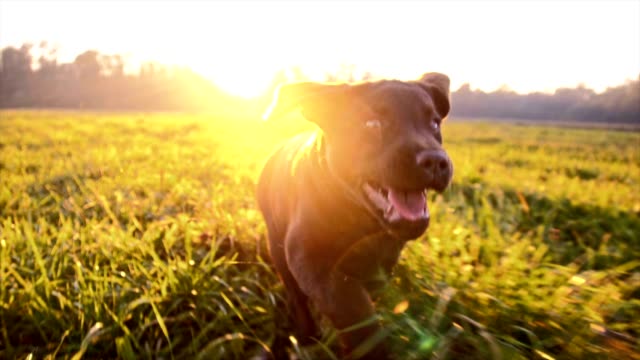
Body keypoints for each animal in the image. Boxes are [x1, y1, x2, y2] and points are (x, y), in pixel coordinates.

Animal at [258, 72, 452, 358]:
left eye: (435, 123)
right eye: (372, 124)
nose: (436, 161)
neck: (360, 220)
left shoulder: (384, 259)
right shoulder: (309, 256)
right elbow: (352, 306)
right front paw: (369, 345)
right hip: (277, 245)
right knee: (297, 297)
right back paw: (308, 336)